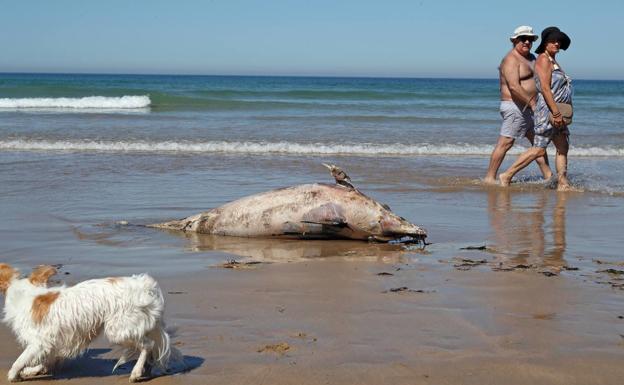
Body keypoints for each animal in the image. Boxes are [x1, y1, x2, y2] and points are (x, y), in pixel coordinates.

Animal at [0, 264, 182, 380]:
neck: (27, 294)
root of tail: (144, 285)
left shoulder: (38, 343)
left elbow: (20, 360)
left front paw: (13, 375)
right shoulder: (51, 343)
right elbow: (46, 361)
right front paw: (31, 371)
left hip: (118, 330)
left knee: (148, 345)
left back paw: (136, 372)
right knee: (151, 348)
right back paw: (146, 370)